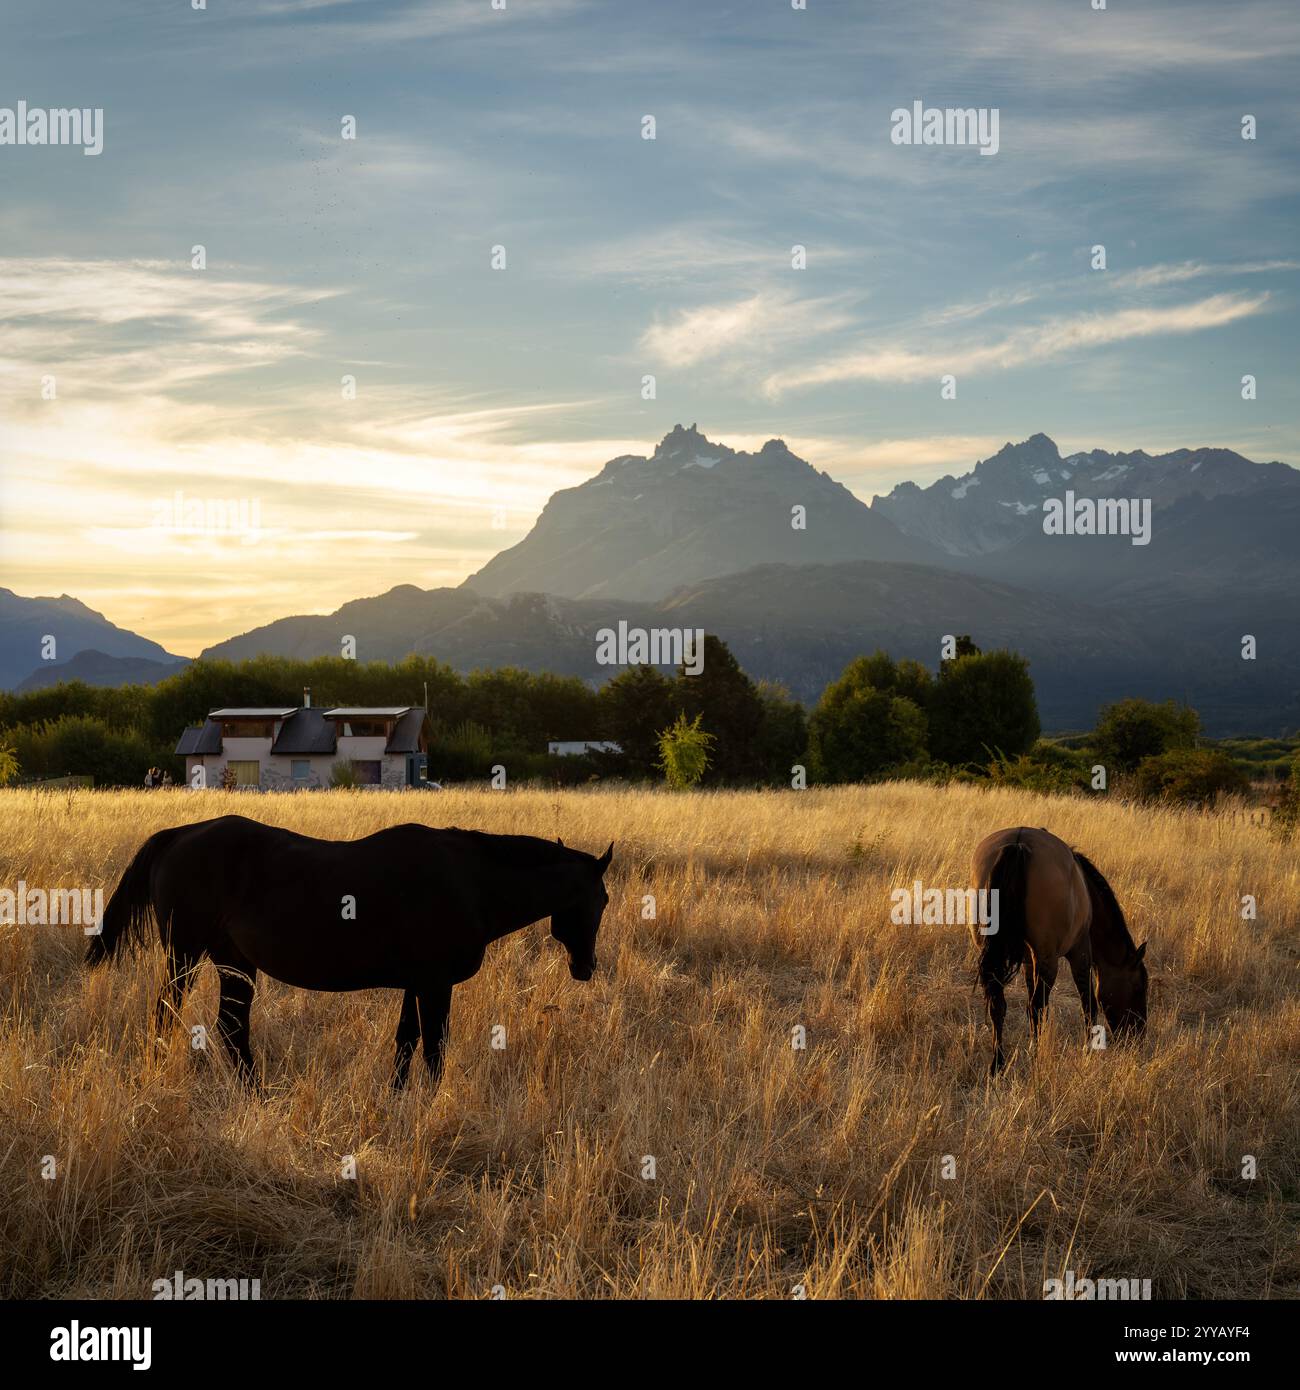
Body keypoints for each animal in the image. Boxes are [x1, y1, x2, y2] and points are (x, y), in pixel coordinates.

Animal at [86, 811, 614, 1089]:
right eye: (602, 899)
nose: (585, 966)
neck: (471, 883)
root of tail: (178, 835)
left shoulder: (417, 983)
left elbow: (405, 1043)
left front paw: (398, 1101)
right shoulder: (435, 984)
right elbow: (434, 1048)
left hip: (233, 962)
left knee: (232, 1029)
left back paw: (255, 1093)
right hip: (185, 954)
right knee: (168, 1013)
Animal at [978, 822, 1151, 1073]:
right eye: (1139, 987)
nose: (1138, 1037)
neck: (1087, 893)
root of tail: (1018, 843)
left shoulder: (1030, 960)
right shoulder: (1080, 953)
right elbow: (1089, 1003)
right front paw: (1089, 1050)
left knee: (999, 1005)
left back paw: (998, 1063)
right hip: (1049, 961)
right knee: (1037, 1006)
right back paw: (1035, 1057)